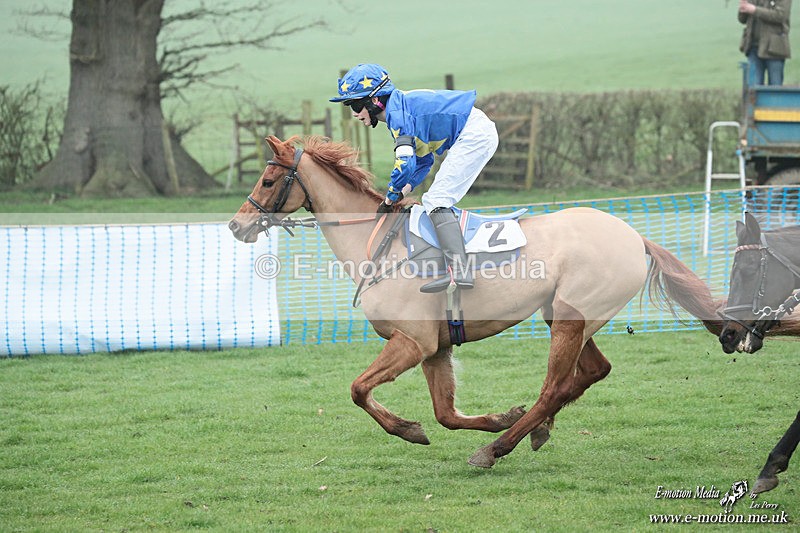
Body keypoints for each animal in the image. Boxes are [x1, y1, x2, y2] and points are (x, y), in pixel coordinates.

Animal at [228, 134, 724, 468]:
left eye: (268, 179)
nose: (236, 225)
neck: (379, 245)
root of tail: (634, 236)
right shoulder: (436, 348)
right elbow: (445, 414)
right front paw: (499, 417)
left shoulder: (412, 342)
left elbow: (358, 388)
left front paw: (408, 429)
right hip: (567, 317)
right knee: (590, 372)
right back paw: (532, 430)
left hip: (571, 319)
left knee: (556, 386)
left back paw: (497, 449)